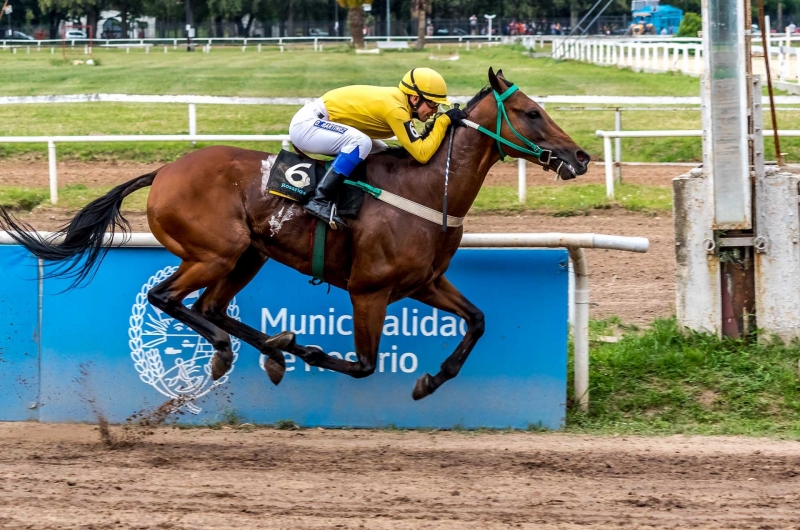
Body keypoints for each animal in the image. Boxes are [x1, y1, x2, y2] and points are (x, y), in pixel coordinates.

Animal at [0, 69, 588, 400]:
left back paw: (268, 350)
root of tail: (164, 171)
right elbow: (363, 364)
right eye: (531, 113)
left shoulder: (423, 282)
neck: (425, 188)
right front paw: (309, 350)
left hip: (248, 256)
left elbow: (478, 320)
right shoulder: (369, 290)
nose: (580, 156)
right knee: (166, 298)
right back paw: (251, 350)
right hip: (216, 251)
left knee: (210, 308)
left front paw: (429, 380)